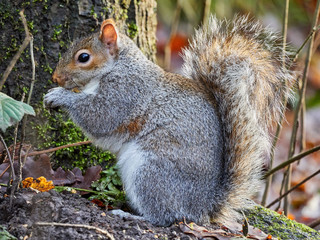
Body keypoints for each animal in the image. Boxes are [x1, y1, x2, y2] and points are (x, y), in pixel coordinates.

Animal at [44, 15, 296, 226]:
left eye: (83, 57)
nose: (55, 77)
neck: (117, 66)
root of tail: (203, 206)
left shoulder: (126, 92)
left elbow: (100, 116)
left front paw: (60, 96)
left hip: (150, 172)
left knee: (164, 216)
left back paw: (131, 215)